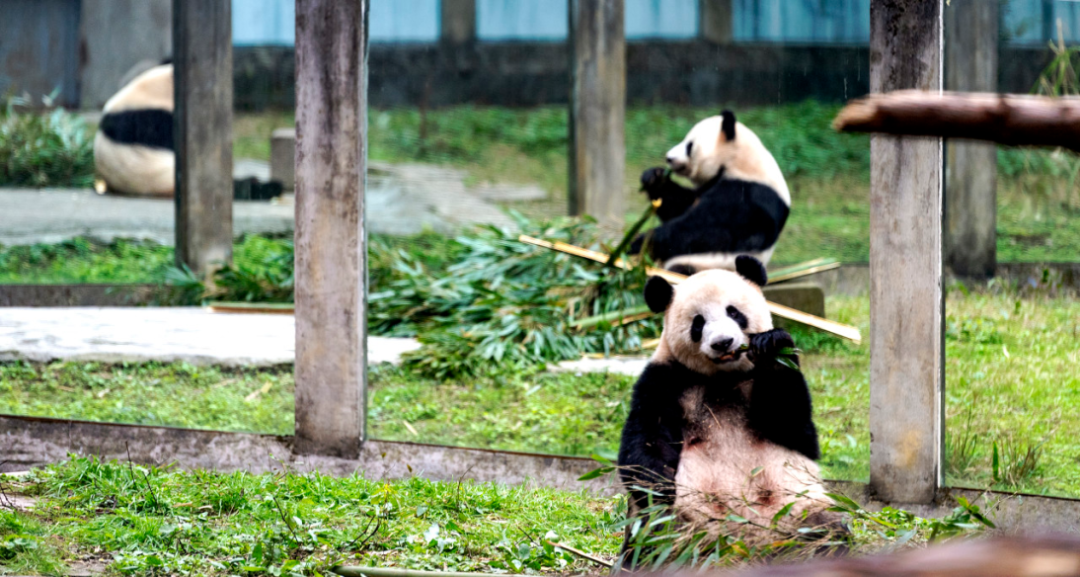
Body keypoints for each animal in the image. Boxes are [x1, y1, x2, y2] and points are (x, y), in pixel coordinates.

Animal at [617, 257, 833, 566]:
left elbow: (796, 430)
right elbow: (646, 441)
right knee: (652, 536)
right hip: (684, 522)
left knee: (827, 528)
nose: (723, 342)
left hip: (797, 508)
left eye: (734, 312)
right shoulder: (665, 379)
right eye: (698, 323)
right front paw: (659, 486)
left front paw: (771, 346)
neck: (722, 377)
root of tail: (742, 547)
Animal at [630, 111, 790, 278]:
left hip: (708, 266)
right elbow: (679, 206)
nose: (669, 158)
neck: (740, 163)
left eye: (689, 145)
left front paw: (640, 242)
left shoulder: (748, 194)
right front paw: (655, 177)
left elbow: (708, 230)